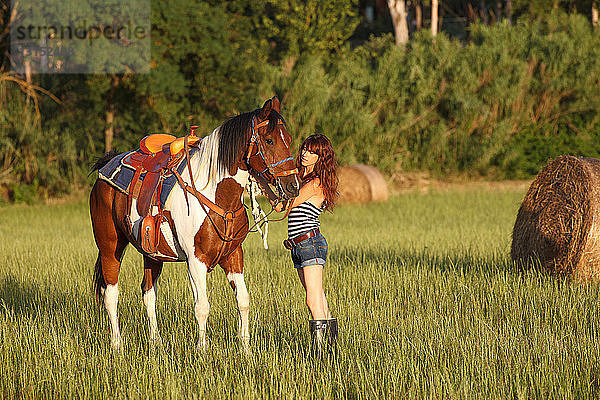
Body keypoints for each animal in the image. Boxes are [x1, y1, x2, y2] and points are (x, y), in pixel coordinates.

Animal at [88, 97, 298, 350]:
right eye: (269, 140)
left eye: (288, 139)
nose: (293, 186)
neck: (216, 195)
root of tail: (106, 164)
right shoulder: (196, 260)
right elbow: (202, 307)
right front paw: (202, 349)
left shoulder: (233, 255)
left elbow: (244, 300)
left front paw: (246, 348)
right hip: (110, 247)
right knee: (111, 294)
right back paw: (117, 344)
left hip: (152, 255)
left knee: (148, 294)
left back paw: (156, 342)